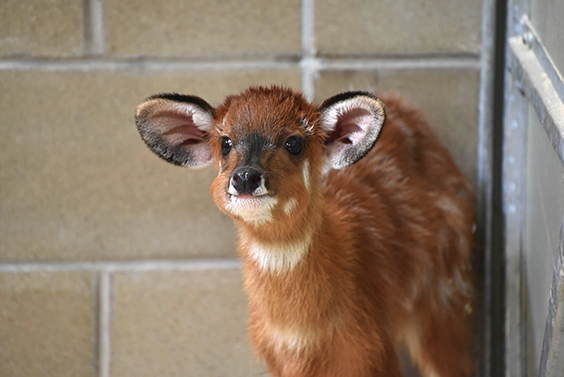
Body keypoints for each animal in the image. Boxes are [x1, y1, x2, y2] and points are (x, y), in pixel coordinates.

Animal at [134, 86, 474, 376]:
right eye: (226, 142)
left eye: (294, 143)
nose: (245, 178)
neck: (301, 335)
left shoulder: (376, 349)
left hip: (444, 296)